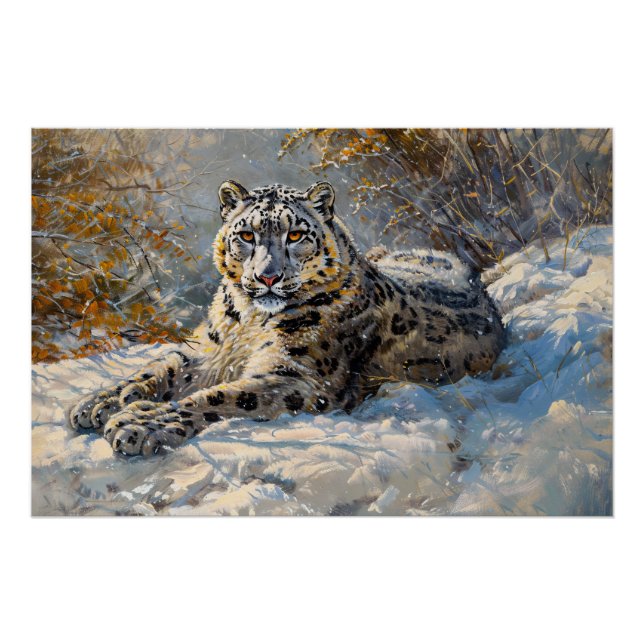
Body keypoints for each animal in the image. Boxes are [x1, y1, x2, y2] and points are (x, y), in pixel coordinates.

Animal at [69, 180, 505, 456]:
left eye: (295, 235)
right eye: (246, 235)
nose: (268, 276)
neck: (245, 320)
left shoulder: (297, 375)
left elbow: (220, 396)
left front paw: (139, 423)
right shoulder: (209, 349)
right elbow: (161, 366)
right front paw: (101, 401)